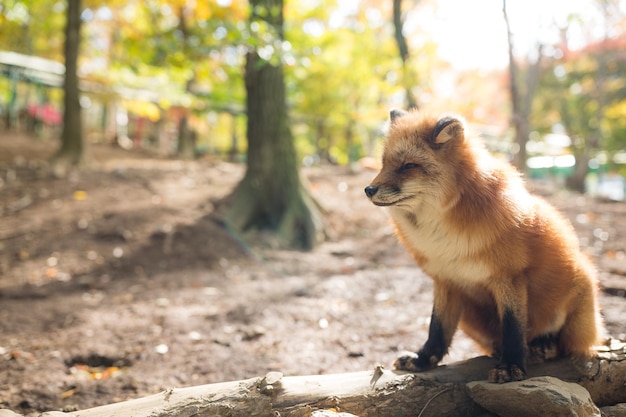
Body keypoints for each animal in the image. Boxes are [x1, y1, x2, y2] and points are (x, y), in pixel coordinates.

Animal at [364, 109, 604, 382]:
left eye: (408, 166)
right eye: (383, 164)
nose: (368, 189)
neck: (442, 237)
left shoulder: (508, 277)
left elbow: (513, 327)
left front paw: (511, 365)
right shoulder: (446, 279)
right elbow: (437, 328)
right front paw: (424, 359)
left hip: (579, 285)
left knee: (565, 342)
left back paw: (544, 345)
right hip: (470, 317)